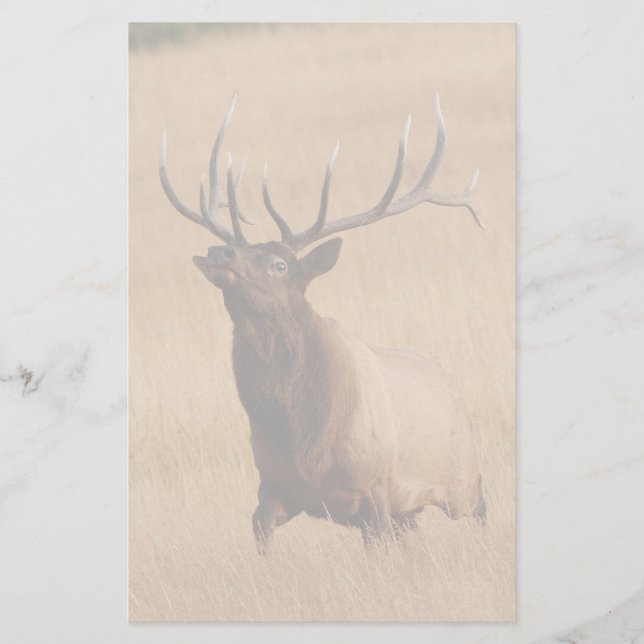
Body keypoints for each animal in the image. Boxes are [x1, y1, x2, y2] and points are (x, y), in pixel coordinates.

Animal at [159, 91, 487, 553]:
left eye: (280, 264)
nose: (219, 252)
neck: (306, 439)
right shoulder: (275, 485)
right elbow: (259, 529)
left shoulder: (376, 484)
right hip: (410, 509)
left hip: (462, 474)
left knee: (480, 507)